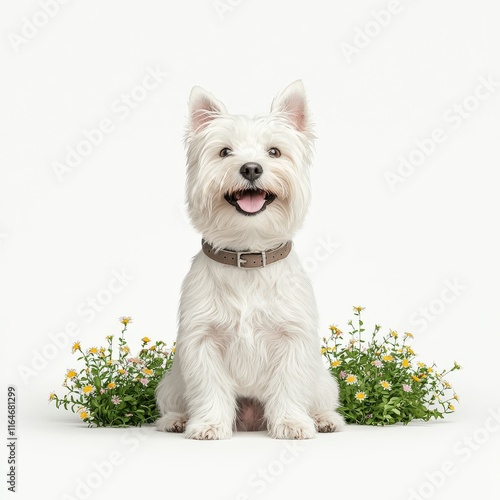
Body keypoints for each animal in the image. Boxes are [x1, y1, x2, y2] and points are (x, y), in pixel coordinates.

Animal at [156, 80, 344, 440]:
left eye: (274, 152)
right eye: (224, 152)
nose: (251, 168)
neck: (249, 252)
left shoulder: (292, 339)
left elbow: (288, 385)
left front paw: (291, 423)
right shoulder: (202, 341)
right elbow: (210, 388)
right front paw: (209, 424)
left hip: (323, 381)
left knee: (321, 399)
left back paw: (324, 419)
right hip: (171, 382)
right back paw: (177, 419)